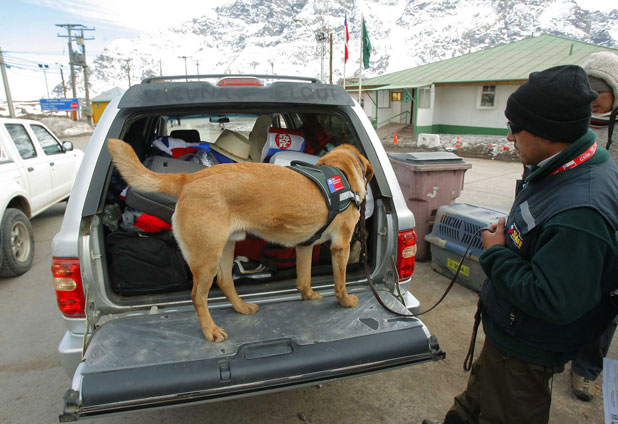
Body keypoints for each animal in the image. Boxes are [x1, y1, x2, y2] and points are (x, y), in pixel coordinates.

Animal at [107, 139, 370, 342]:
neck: (340, 171)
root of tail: (189, 178)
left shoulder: (304, 246)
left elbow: (304, 280)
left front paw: (309, 296)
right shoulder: (341, 246)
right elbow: (340, 283)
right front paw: (345, 301)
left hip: (225, 248)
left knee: (225, 281)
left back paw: (241, 307)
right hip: (207, 258)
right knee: (198, 296)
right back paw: (210, 330)